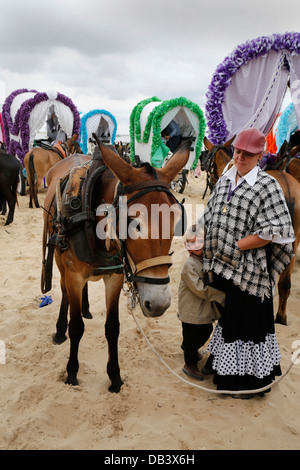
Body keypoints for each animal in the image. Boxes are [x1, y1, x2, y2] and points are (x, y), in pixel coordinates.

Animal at [41, 137, 191, 392]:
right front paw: (72, 372)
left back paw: (86, 308)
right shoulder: (73, 276)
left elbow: (112, 328)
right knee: (63, 291)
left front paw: (115, 377)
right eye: (134, 224)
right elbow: (76, 327)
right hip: (61, 263)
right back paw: (61, 328)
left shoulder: (115, 277)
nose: (159, 303)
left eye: (175, 223)